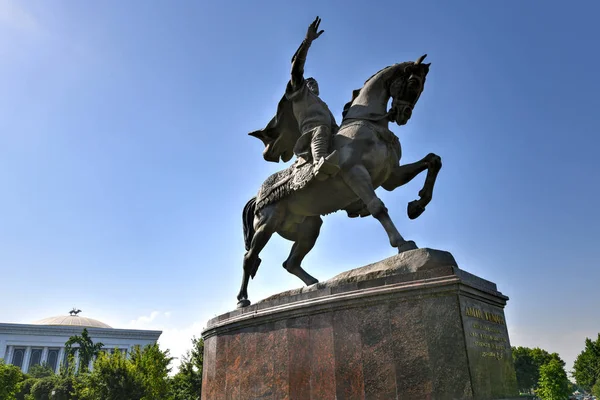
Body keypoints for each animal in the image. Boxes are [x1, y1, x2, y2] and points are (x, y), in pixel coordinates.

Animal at [236, 54, 440, 308]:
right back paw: (243, 301)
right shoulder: (355, 173)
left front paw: (417, 205)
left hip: (308, 227)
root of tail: (257, 197)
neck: (370, 126)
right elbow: (377, 207)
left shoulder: (391, 176)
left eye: (422, 87)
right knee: (250, 258)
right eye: (413, 83)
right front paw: (402, 244)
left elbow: (433, 160)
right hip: (267, 224)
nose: (403, 115)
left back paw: (315, 285)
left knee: (290, 262)